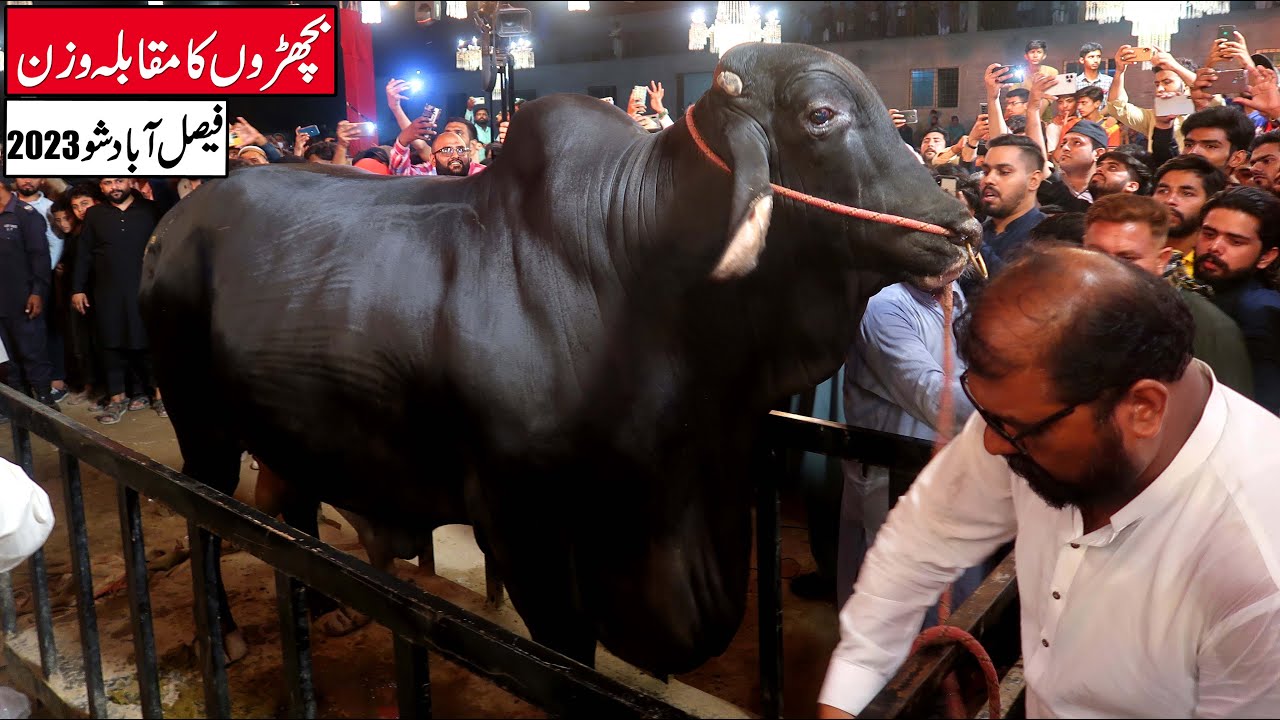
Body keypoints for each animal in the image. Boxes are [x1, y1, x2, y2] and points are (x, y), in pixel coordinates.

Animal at [139, 42, 981, 676]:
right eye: (821, 115)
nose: (962, 226)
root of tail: (174, 223)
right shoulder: (526, 529)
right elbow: (569, 654)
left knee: (294, 503)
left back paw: (325, 604)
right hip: (200, 427)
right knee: (206, 519)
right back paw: (225, 635)